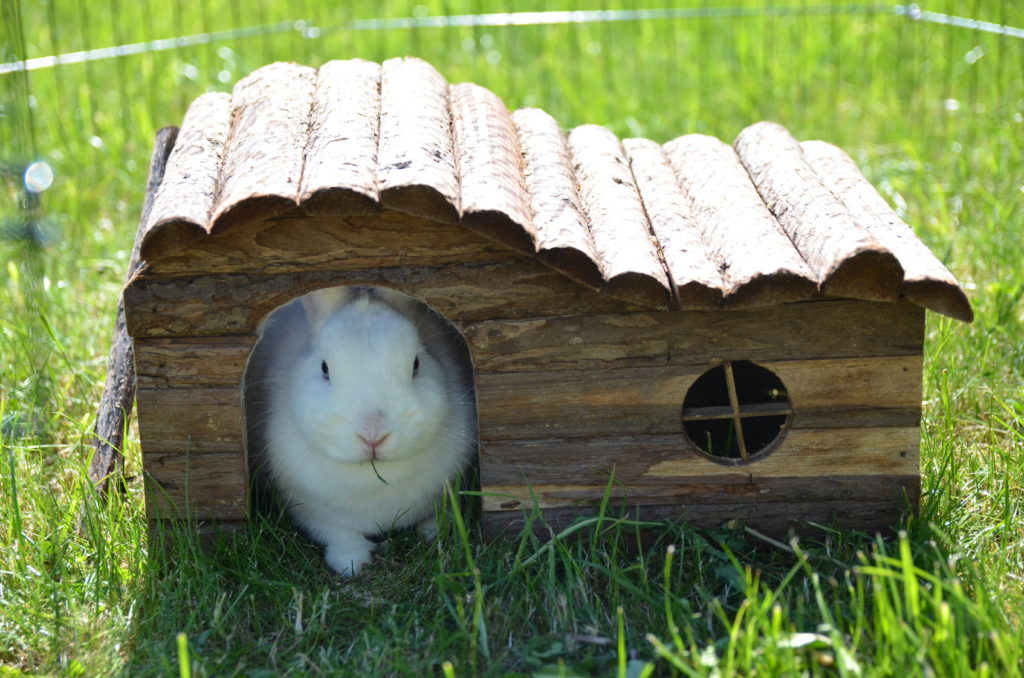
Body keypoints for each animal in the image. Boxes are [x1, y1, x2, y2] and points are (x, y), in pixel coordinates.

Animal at [245, 286, 477, 577]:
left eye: (416, 364)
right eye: (324, 368)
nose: (373, 434)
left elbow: (436, 514)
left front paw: (436, 533)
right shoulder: (312, 509)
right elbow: (338, 533)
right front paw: (352, 563)